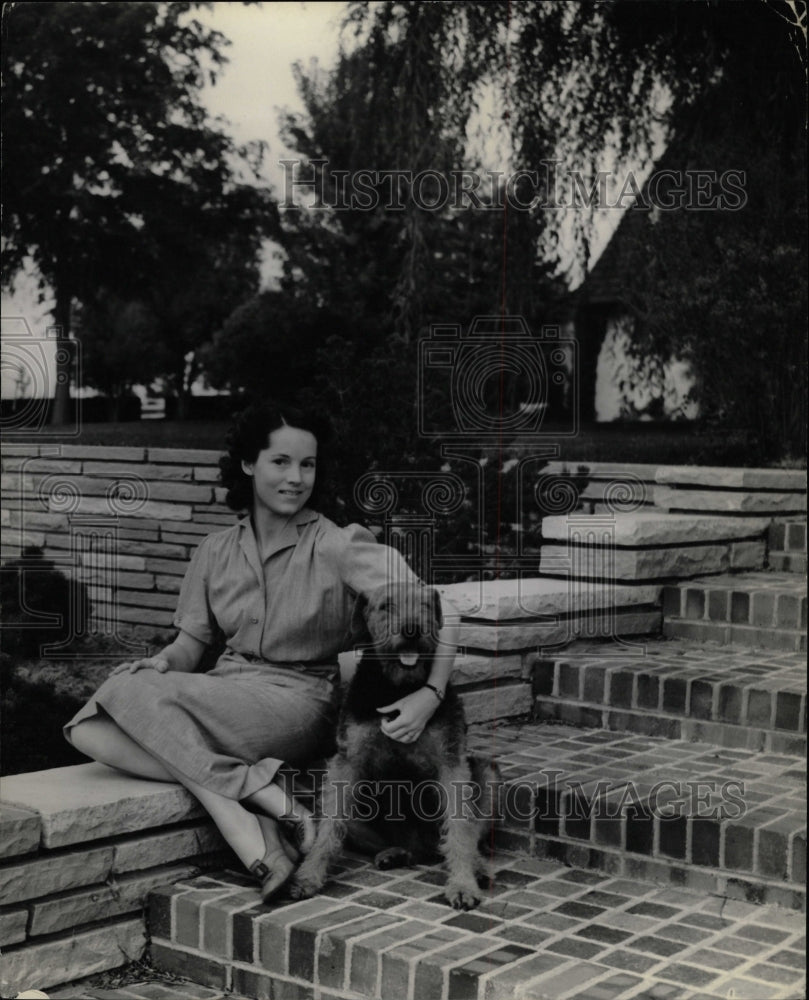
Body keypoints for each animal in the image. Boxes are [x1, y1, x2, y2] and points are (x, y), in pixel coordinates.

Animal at [284, 584, 498, 912]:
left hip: (487, 773)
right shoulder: (346, 763)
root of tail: (422, 846)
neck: (398, 688)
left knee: (467, 837)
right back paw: (394, 853)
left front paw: (462, 886)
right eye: (386, 606)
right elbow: (329, 831)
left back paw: (476, 867)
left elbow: (459, 829)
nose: (411, 630)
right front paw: (308, 877)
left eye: (425, 604)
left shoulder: (451, 763)